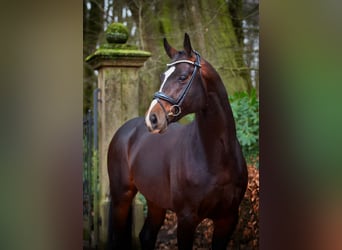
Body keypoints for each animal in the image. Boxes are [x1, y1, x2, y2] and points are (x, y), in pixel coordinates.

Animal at [108, 33, 247, 250]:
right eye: (162, 77)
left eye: (182, 77)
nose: (152, 118)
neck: (218, 158)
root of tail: (125, 130)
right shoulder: (186, 219)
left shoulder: (228, 219)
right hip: (121, 197)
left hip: (155, 200)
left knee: (147, 236)